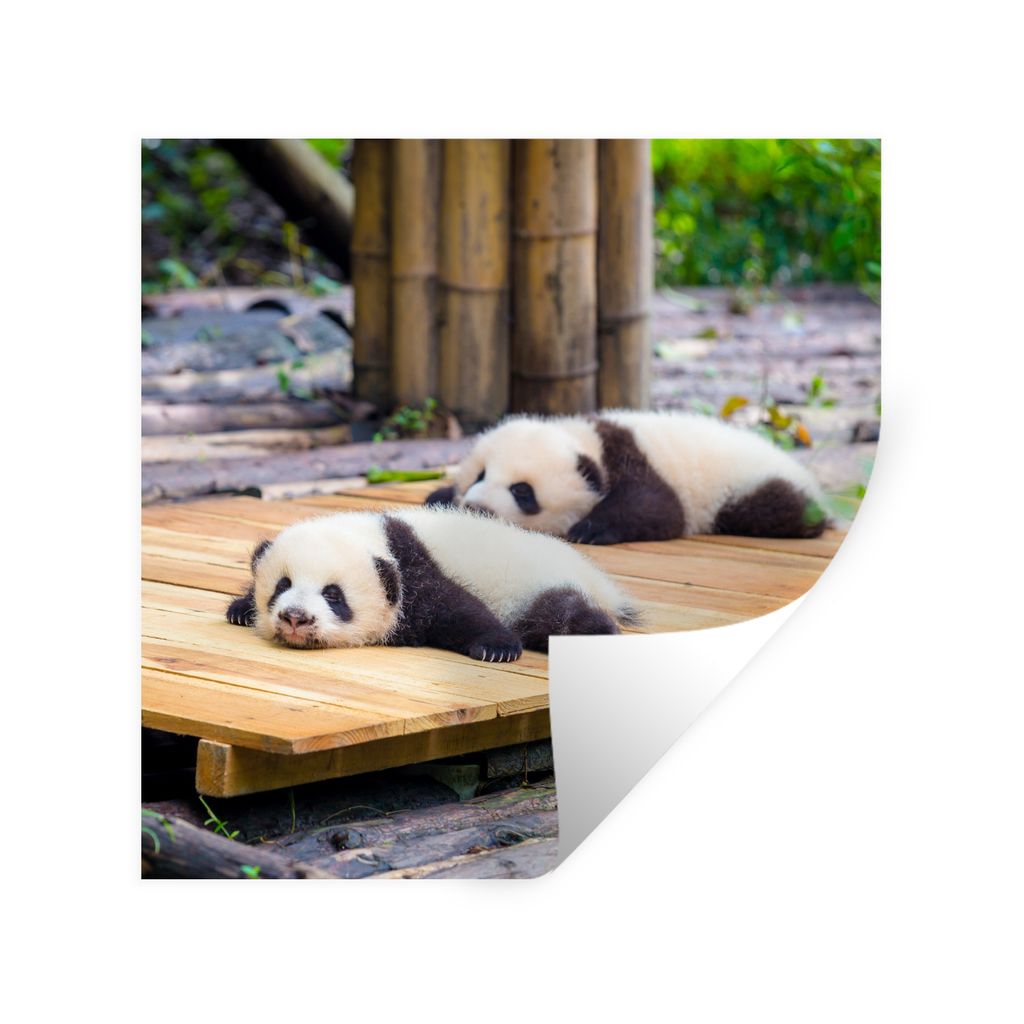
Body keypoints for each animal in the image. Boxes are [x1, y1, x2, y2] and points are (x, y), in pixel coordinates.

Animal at [225, 507, 636, 662]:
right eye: (282, 585)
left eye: (333, 595)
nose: (295, 617)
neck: (377, 536)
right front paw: (241, 609)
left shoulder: (416, 572)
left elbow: (459, 608)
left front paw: (497, 648)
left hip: (540, 584)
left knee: (563, 614)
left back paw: (597, 633)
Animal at [425, 410, 829, 545]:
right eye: (480, 474)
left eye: (522, 492)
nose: (476, 507)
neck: (589, 439)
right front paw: (439, 497)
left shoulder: (634, 461)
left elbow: (659, 508)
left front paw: (590, 529)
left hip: (748, 487)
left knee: (775, 508)